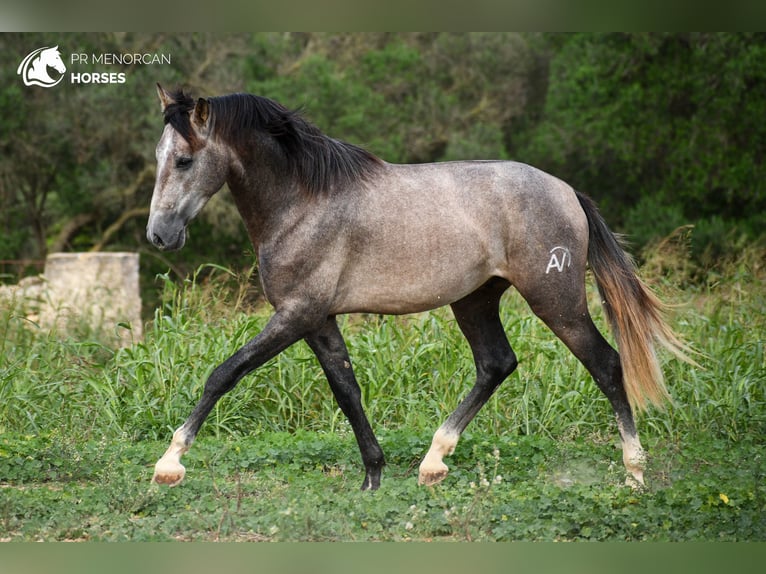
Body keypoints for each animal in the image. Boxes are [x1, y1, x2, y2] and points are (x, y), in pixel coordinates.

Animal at [146, 83, 688, 492]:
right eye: (159, 155)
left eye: (184, 160)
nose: (159, 236)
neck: (303, 202)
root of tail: (567, 191)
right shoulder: (317, 319)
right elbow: (347, 390)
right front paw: (373, 477)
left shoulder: (296, 313)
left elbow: (224, 373)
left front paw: (169, 464)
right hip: (475, 301)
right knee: (496, 364)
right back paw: (433, 462)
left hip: (556, 301)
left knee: (606, 364)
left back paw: (634, 472)